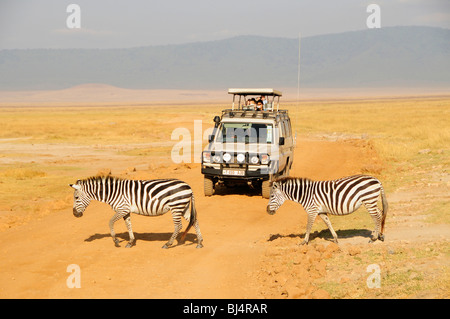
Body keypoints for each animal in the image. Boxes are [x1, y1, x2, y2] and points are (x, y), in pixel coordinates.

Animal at [69, 176, 203, 249]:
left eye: (76, 198)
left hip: (176, 206)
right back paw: (199, 242)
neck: (112, 193)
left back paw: (168, 244)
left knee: (178, 226)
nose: (75, 214)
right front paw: (130, 242)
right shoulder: (126, 211)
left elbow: (110, 222)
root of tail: (188, 186)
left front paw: (116, 241)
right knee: (195, 221)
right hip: (183, 207)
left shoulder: (122, 208)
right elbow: (128, 225)